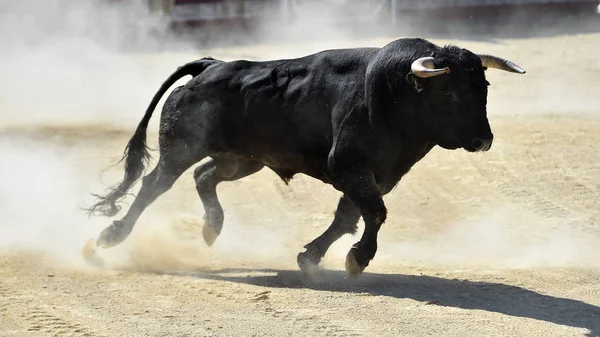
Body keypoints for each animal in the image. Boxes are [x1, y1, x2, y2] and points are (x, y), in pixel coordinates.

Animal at [85, 37, 524, 278]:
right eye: (449, 93)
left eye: (483, 88)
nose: (483, 140)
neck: (394, 95)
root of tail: (210, 66)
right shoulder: (348, 167)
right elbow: (373, 213)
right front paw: (358, 259)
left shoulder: (376, 176)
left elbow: (349, 217)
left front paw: (311, 257)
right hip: (181, 149)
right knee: (153, 185)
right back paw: (108, 238)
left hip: (244, 158)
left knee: (205, 177)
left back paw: (212, 227)